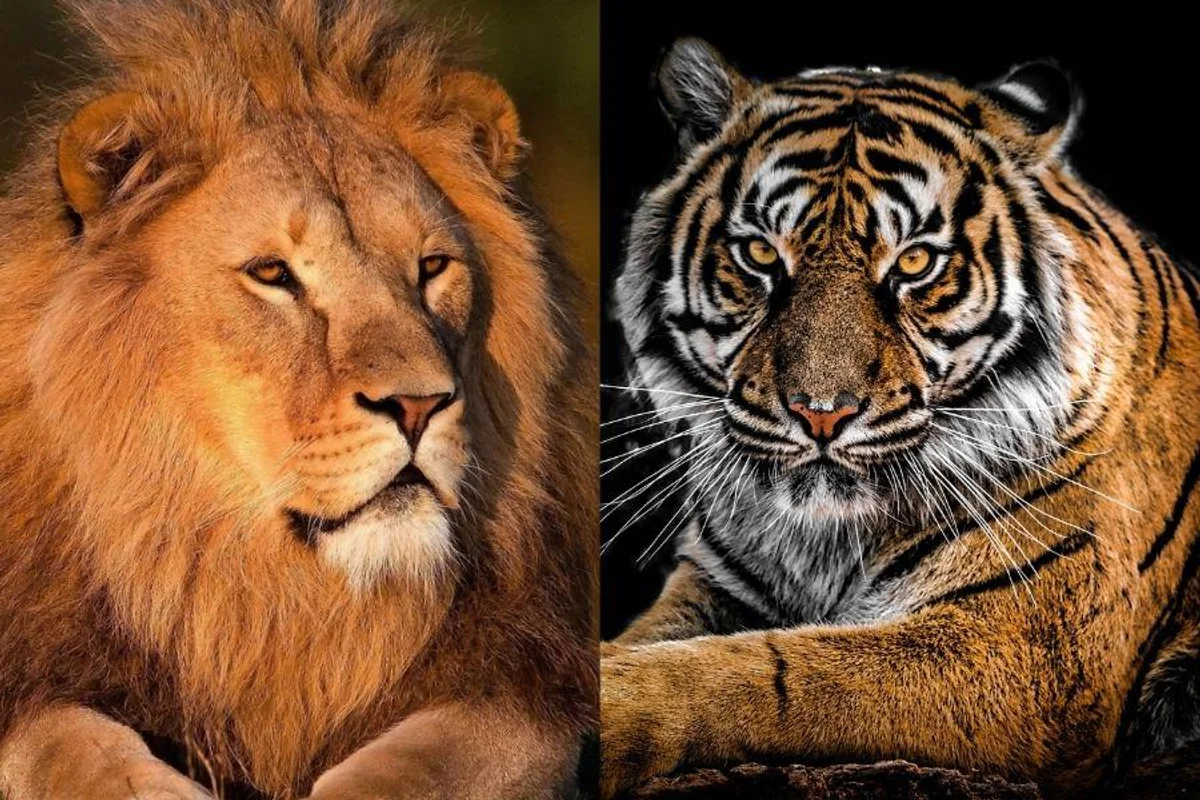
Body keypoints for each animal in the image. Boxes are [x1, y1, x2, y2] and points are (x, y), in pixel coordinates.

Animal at [0, 1, 597, 798]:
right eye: (272, 273)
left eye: (432, 266)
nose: (418, 406)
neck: (277, 599)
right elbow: (66, 742)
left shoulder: (528, 679)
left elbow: (424, 764)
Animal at [601, 38, 1200, 798]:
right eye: (761, 253)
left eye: (914, 262)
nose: (820, 414)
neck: (823, 542)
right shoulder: (714, 585)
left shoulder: (1027, 651)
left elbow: (766, 674)